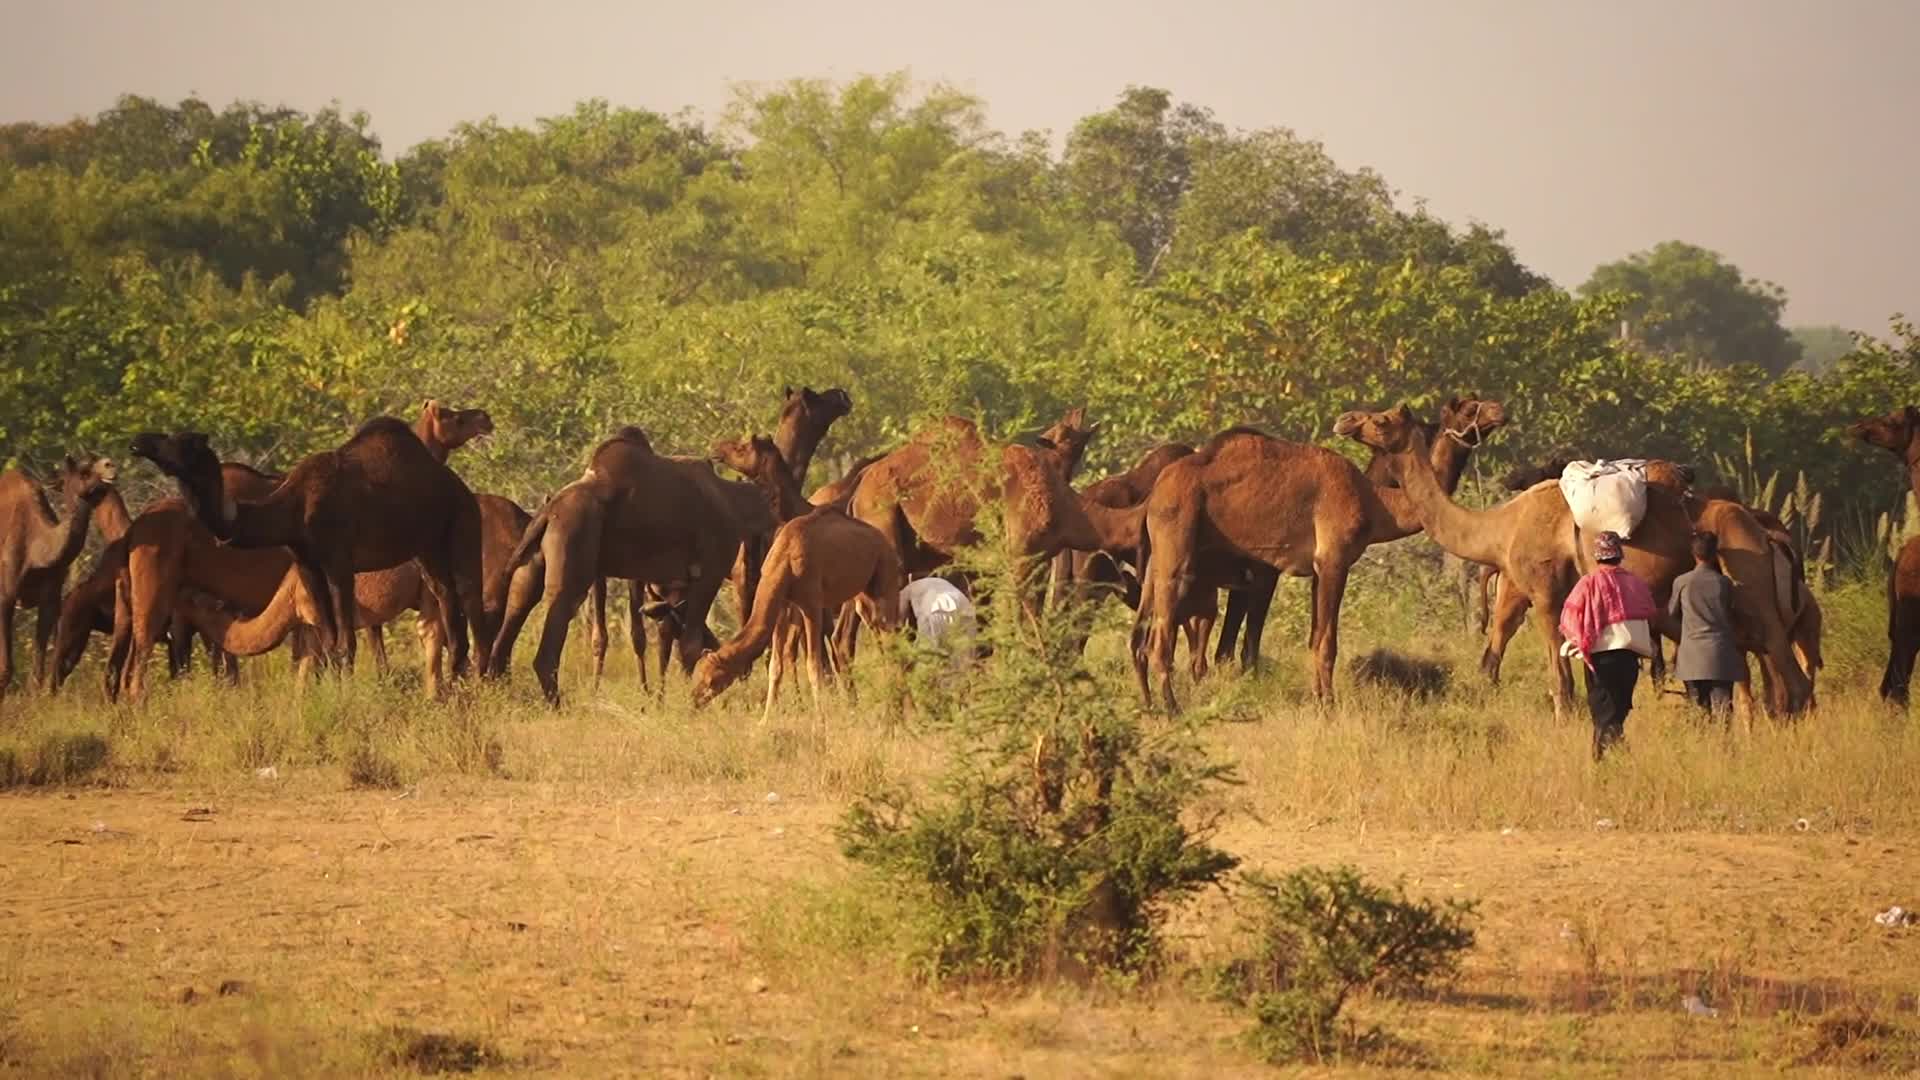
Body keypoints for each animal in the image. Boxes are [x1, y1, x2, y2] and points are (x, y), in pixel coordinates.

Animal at [0, 455, 118, 699]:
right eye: (84, 472)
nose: (110, 465)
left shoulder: (51, 599)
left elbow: (38, 671)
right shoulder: (6, 594)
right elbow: (5, 668)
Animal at [132, 403, 493, 679]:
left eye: (183, 442)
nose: (138, 441)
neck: (293, 508)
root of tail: (459, 487)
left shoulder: (340, 563)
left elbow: (345, 642)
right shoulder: (308, 564)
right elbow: (330, 641)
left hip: (463, 524)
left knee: (471, 597)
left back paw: (480, 677)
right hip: (426, 547)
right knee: (447, 598)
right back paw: (458, 676)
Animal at [1129, 427, 1396, 711]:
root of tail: (1154, 495)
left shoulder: (1249, 580)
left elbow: (1232, 646)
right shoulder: (1264, 575)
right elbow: (1246, 641)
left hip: (1161, 574)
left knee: (1142, 641)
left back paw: (1151, 702)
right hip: (1175, 560)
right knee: (1161, 640)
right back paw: (1172, 707)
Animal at [1335, 405, 1810, 718]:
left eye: (1380, 420)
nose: (1344, 419)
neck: (1501, 526)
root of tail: (1765, 535)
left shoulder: (1546, 593)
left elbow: (1560, 681)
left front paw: (1565, 719)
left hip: (1754, 591)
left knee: (1792, 678)